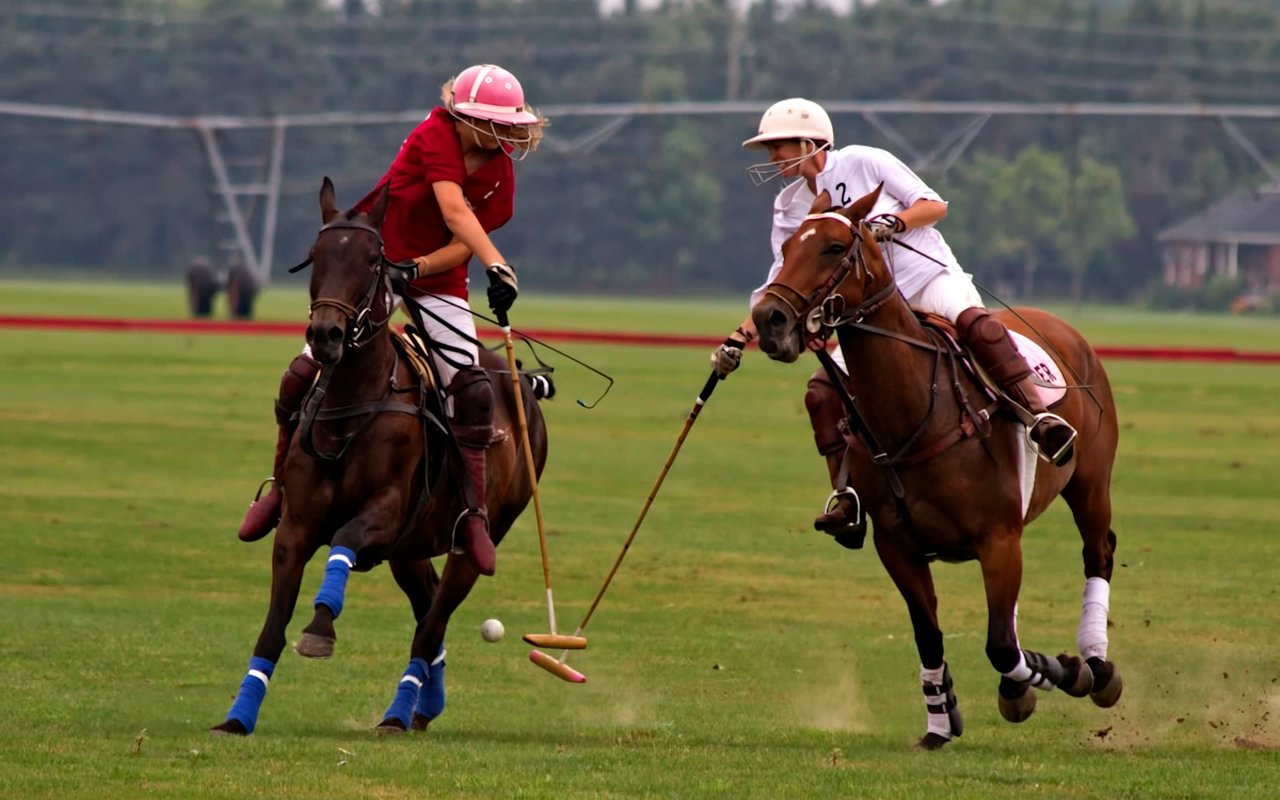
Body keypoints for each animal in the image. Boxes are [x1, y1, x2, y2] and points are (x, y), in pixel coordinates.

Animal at [211, 179, 550, 737]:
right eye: (316, 255)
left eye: (373, 261)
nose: (325, 335)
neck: (351, 404)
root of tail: (520, 378)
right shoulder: (296, 526)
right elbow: (272, 627)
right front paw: (238, 716)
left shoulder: (384, 513)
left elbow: (344, 541)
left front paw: (320, 629)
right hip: (410, 549)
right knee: (427, 610)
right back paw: (423, 707)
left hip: (473, 538)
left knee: (433, 620)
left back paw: (397, 714)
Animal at [747, 186, 1121, 747]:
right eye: (788, 246)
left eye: (834, 247)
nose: (769, 319)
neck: (917, 411)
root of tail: (1061, 327)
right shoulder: (898, 546)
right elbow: (931, 634)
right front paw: (941, 721)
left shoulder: (997, 537)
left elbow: (1001, 647)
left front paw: (1061, 671)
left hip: (1091, 484)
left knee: (1097, 554)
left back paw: (1096, 666)